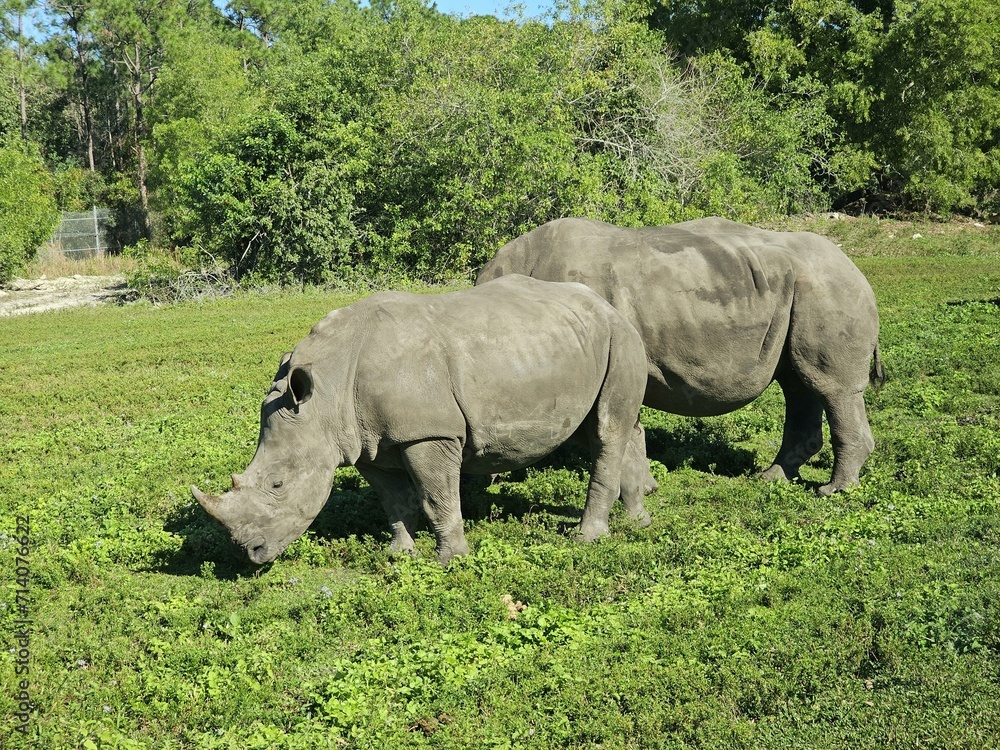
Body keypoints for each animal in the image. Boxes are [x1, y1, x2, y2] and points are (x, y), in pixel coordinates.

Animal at [192, 274, 651, 565]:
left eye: (277, 484)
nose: (246, 553)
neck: (327, 391)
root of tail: (607, 305)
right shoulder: (367, 442)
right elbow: (393, 500)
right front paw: (400, 555)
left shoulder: (427, 434)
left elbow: (435, 496)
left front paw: (450, 561)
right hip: (582, 341)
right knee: (608, 428)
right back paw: (638, 520)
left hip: (619, 336)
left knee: (605, 431)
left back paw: (587, 538)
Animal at [477, 217, 885, 495]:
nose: (485, 478)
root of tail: (856, 270)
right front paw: (646, 488)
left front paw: (642, 489)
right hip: (802, 289)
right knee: (798, 383)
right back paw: (771, 478)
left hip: (829, 290)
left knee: (831, 389)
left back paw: (832, 491)